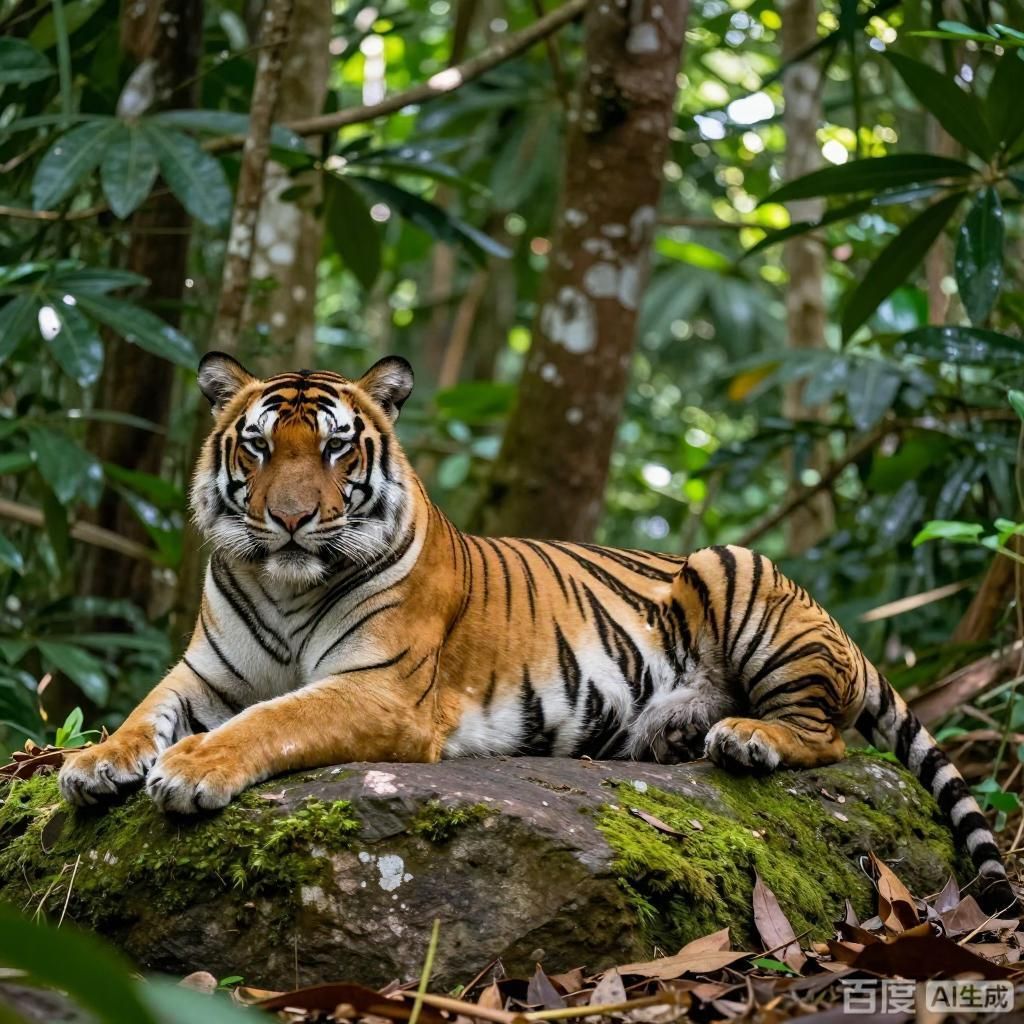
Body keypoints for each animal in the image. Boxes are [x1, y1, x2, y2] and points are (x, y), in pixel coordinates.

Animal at [59, 351, 1019, 915]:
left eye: (334, 450)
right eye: (258, 448)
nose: (292, 521)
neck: (285, 584)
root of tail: (841, 629)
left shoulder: (382, 689)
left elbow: (276, 718)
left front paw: (193, 769)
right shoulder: (204, 674)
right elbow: (146, 711)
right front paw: (96, 762)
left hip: (734, 566)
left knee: (827, 736)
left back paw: (746, 739)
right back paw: (680, 734)